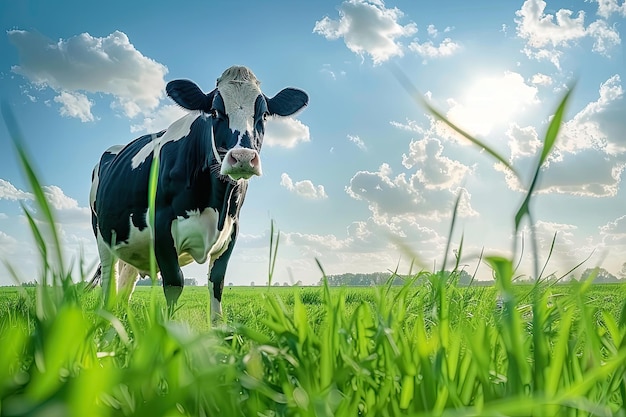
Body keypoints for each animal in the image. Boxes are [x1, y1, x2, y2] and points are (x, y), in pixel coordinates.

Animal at [89, 65, 308, 320]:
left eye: (263, 115)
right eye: (214, 111)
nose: (243, 157)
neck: (217, 199)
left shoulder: (231, 231)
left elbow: (217, 283)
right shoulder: (161, 227)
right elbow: (174, 283)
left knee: (125, 285)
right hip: (102, 235)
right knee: (109, 278)